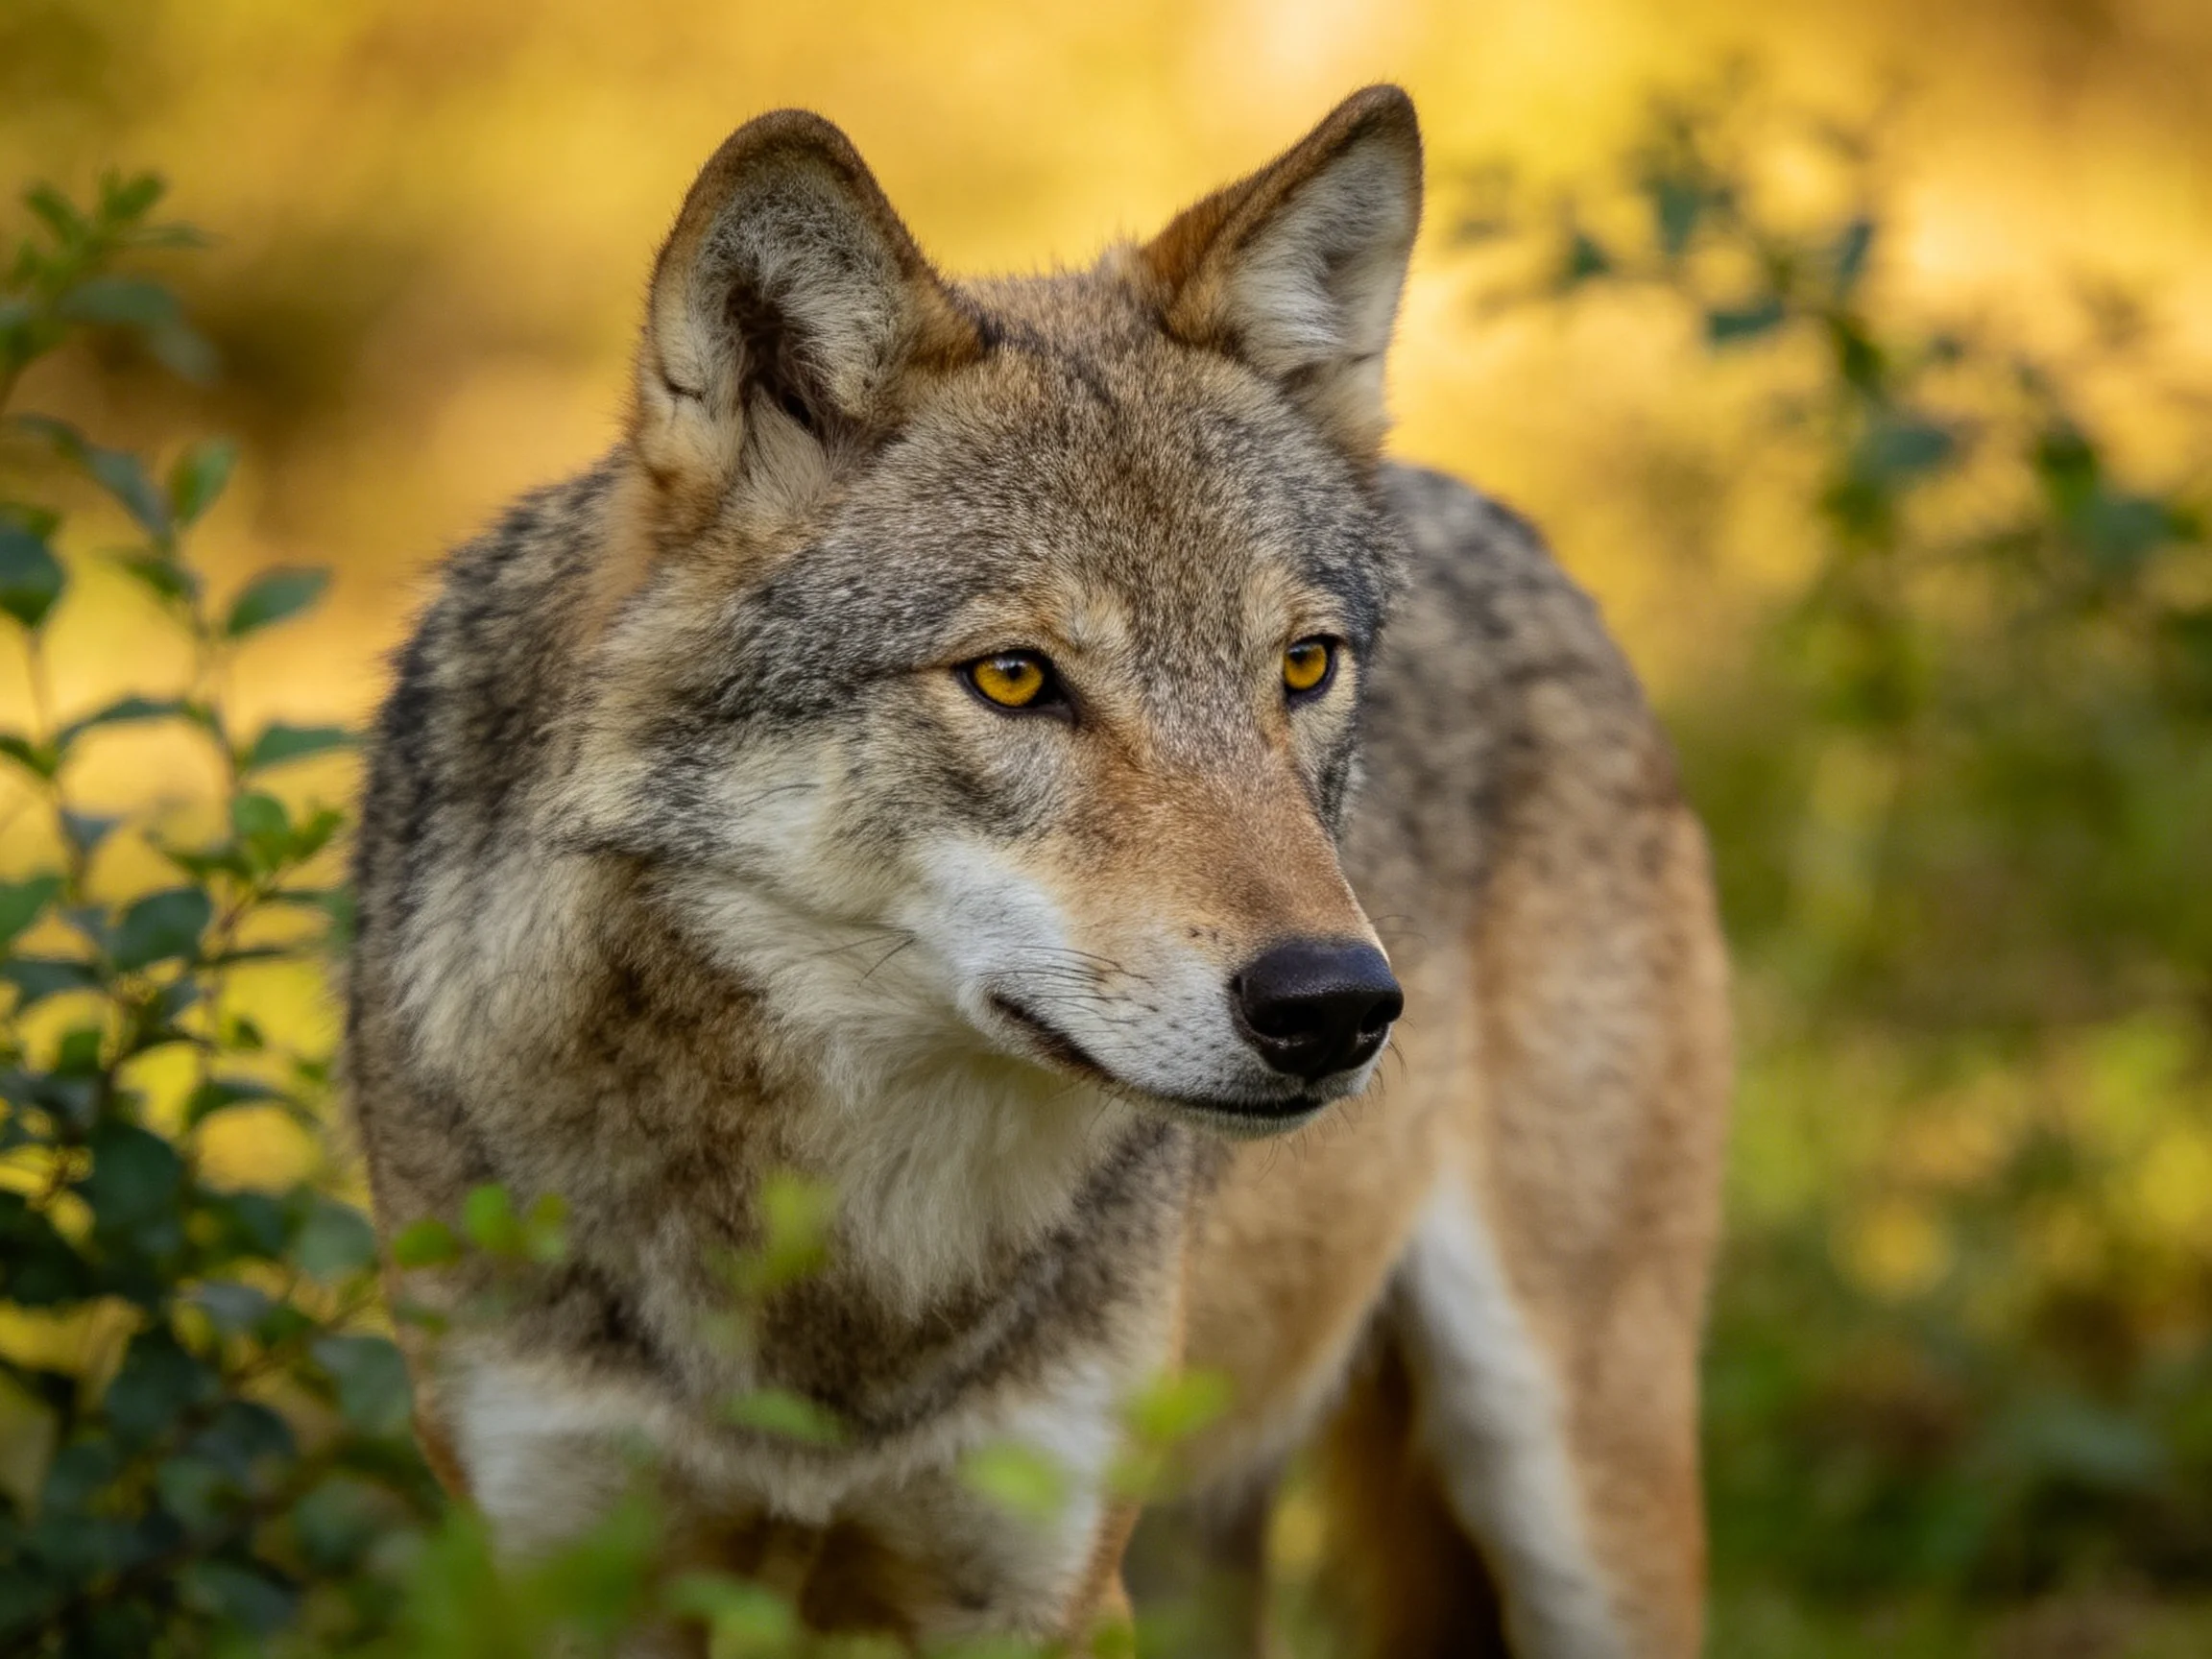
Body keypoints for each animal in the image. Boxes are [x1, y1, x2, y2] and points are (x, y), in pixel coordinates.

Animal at [346, 85, 1730, 1657]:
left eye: (1303, 667)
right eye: (1014, 678)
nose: (1336, 1007)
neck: (846, 1248)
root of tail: (1523, 535)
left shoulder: (1044, 1586)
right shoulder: (556, 1572)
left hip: (1577, 1491)